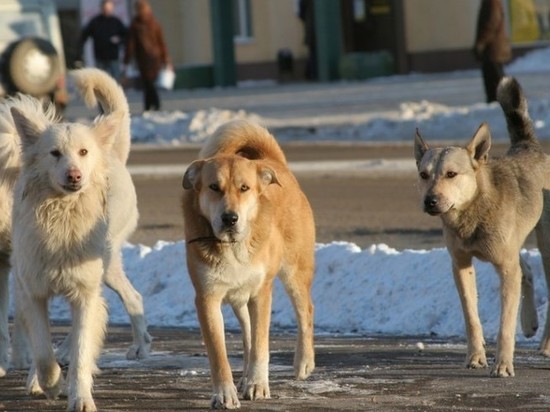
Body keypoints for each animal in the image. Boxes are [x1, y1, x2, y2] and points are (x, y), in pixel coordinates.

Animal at [0, 67, 148, 408]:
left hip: (105, 265)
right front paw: (50, 382)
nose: (75, 175)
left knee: (129, 299)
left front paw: (79, 397)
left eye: (83, 152)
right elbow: (42, 352)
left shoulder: (83, 292)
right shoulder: (32, 290)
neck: (62, 218)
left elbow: (82, 348)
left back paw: (138, 346)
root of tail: (113, 154)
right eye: (54, 153)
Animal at [183, 119, 316, 408]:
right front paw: (225, 393)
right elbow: (219, 354)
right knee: (246, 334)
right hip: (238, 299)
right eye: (214, 187)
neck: (233, 247)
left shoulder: (261, 294)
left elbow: (261, 346)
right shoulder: (207, 298)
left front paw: (257, 385)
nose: (230, 218)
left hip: (294, 272)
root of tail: (272, 161)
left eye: (244, 188)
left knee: (305, 311)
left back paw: (303, 362)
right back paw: (243, 378)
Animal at [416, 76, 550, 376]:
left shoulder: (506, 269)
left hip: (546, 245)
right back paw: (530, 323)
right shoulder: (461, 265)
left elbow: (504, 326)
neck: (472, 214)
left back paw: (546, 344)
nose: (430, 201)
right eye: (423, 175)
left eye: (451, 174)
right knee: (526, 271)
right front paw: (476, 356)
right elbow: (471, 317)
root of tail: (529, 146)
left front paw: (503, 365)